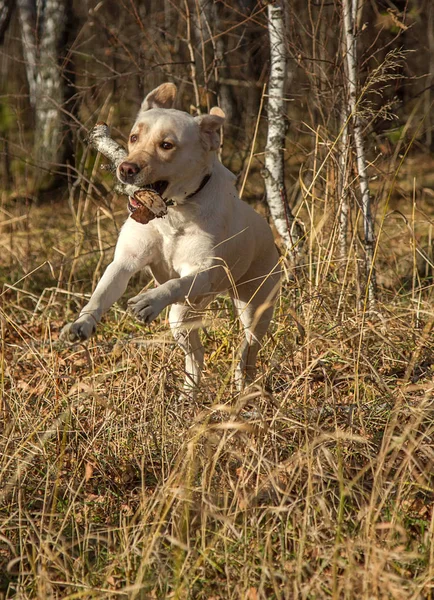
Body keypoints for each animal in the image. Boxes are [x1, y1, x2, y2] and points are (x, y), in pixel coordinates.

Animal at [61, 82, 280, 396]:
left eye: (167, 145)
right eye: (134, 137)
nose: (126, 168)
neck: (173, 212)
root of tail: (268, 233)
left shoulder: (204, 271)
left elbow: (177, 282)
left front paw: (149, 300)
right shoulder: (125, 261)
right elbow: (101, 293)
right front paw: (82, 323)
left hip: (253, 307)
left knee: (248, 350)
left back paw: (242, 385)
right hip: (183, 316)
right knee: (196, 354)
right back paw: (189, 393)